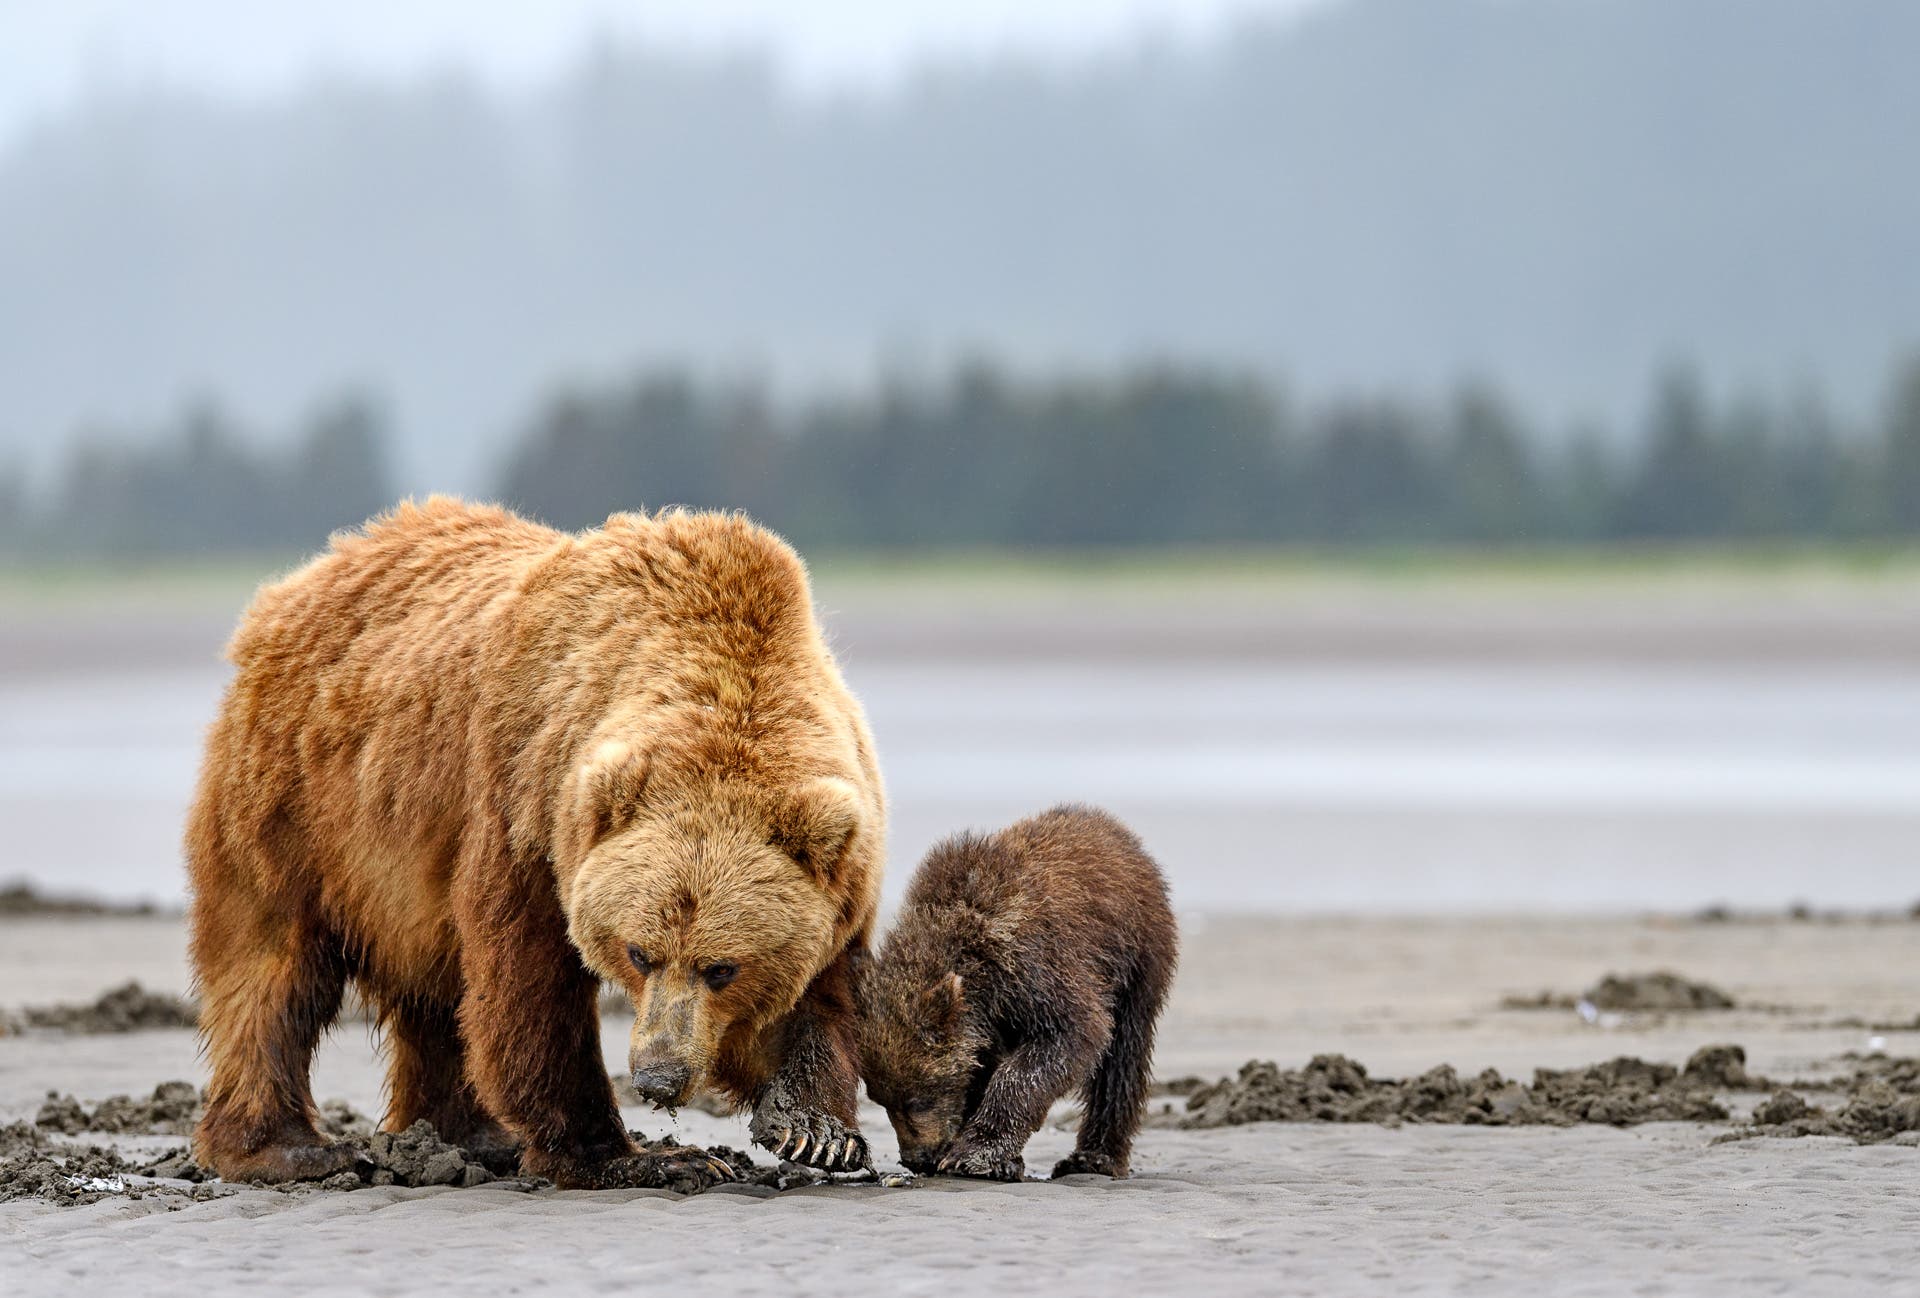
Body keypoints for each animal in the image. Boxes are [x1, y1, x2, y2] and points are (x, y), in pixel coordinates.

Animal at [185, 498, 885, 1188]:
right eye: (639, 953)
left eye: (721, 967)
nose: (658, 1078)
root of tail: (307, 577)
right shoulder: (528, 800)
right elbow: (531, 986)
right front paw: (636, 1155)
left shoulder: (840, 872)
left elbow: (815, 994)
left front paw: (817, 1133)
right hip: (297, 808)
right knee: (274, 975)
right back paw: (290, 1148)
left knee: (435, 998)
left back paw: (465, 1135)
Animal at [856, 805, 1176, 1181]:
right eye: (881, 1099)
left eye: (919, 1098)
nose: (915, 1157)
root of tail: (1114, 829)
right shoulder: (988, 1019)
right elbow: (979, 1067)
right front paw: (1000, 1160)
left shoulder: (1034, 971)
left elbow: (1066, 1038)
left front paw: (973, 1153)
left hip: (1135, 955)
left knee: (1122, 1057)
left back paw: (1094, 1158)